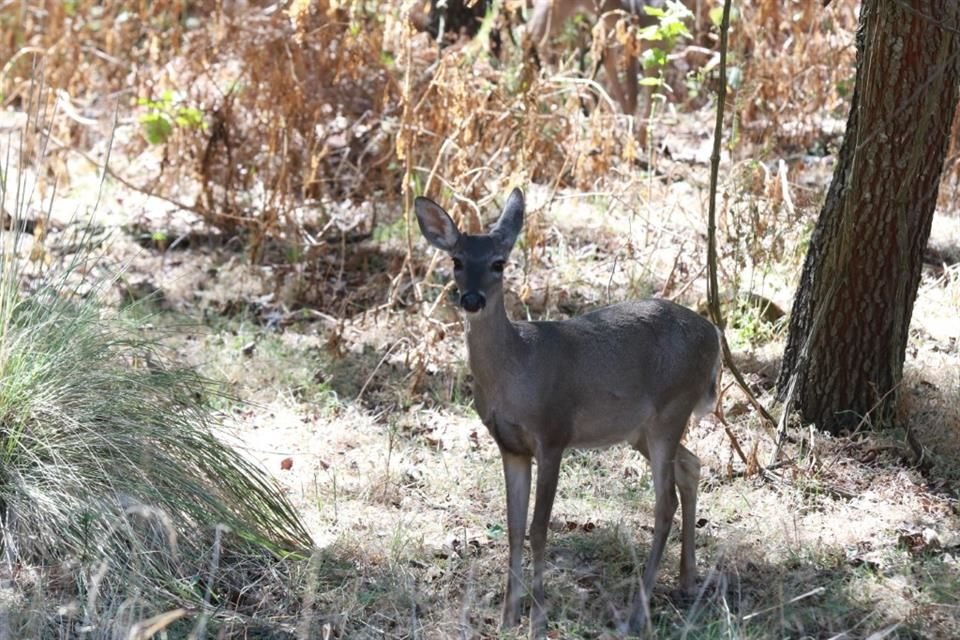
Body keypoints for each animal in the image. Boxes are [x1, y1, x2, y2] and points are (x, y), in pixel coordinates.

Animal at [412, 188, 720, 636]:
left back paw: (637, 612)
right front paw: (507, 617)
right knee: (692, 465)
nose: (471, 299)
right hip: (641, 430)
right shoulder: (510, 445)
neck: (516, 370)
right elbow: (514, 525)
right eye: (456, 261)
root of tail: (715, 336)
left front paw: (537, 619)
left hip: (671, 407)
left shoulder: (553, 433)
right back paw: (686, 581)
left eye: (498, 263)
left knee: (665, 503)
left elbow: (539, 527)